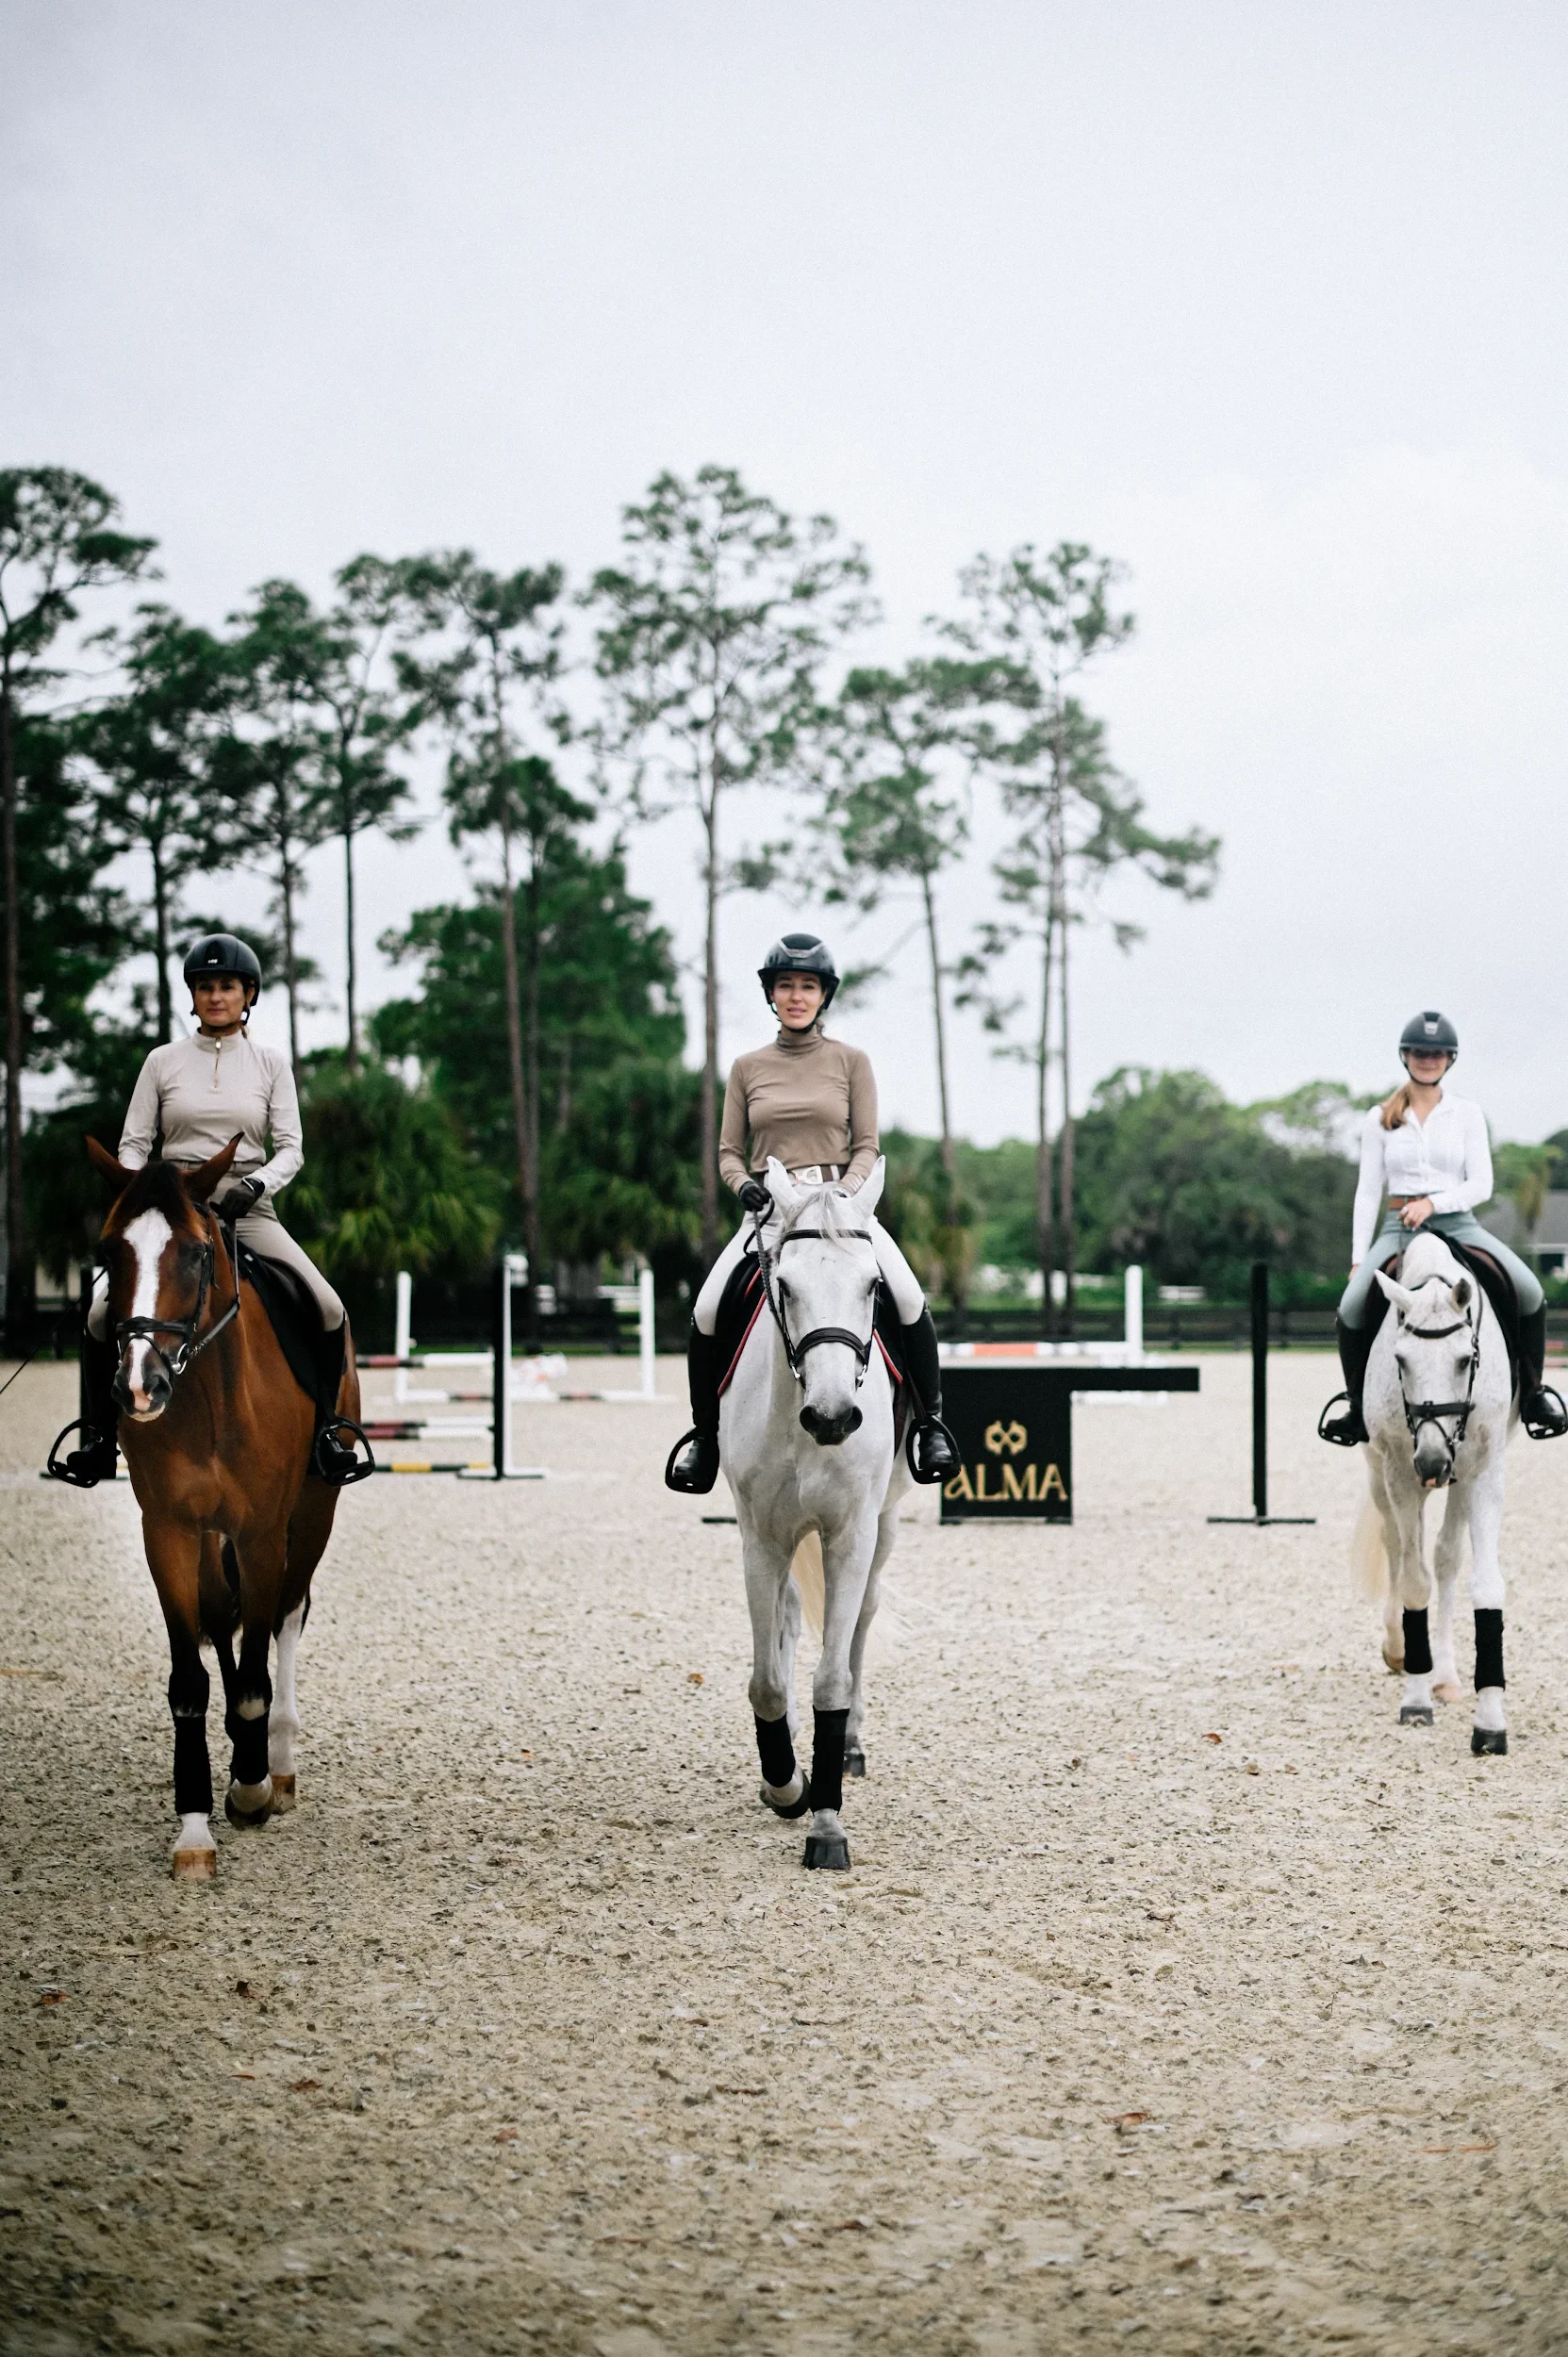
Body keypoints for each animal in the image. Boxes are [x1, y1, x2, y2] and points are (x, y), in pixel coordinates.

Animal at [78, 1135, 360, 1875]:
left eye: (197, 1253)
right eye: (109, 1250)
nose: (139, 1386)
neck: (206, 1396)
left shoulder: (263, 1533)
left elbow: (260, 1666)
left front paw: (252, 1789)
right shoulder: (169, 1533)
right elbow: (189, 1681)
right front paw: (196, 1826)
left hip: (310, 1517)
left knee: (288, 1616)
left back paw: (276, 1764)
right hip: (212, 1544)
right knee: (220, 1623)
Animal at [719, 1156, 911, 1870]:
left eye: (873, 1286)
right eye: (785, 1285)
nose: (831, 1419)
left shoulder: (851, 1532)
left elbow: (832, 1676)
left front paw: (826, 1823)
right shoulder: (760, 1539)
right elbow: (768, 1681)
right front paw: (786, 1784)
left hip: (884, 1525)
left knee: (859, 1624)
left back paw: (850, 1745)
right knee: (790, 1624)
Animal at [1353, 1229, 1514, 1754]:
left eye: (1466, 1360)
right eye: (1401, 1361)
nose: (1431, 1464)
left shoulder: (1485, 1473)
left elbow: (1483, 1584)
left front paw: (1490, 1722)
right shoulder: (1399, 1475)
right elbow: (1413, 1579)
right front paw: (1416, 1699)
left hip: (1460, 1481)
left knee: (1445, 1556)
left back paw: (1445, 1675)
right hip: (1378, 1471)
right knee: (1396, 1545)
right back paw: (1402, 1651)